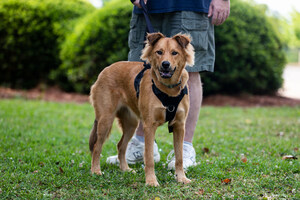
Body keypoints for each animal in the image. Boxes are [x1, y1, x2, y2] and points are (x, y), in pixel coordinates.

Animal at [89, 32, 195, 187]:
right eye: (159, 52)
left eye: (175, 53)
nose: (165, 64)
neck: (168, 90)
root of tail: (105, 70)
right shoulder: (149, 125)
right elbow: (149, 158)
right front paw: (151, 181)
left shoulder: (179, 126)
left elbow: (179, 157)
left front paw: (181, 178)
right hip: (105, 120)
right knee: (97, 146)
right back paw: (95, 170)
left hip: (131, 124)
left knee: (121, 146)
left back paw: (125, 169)